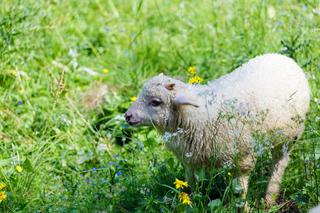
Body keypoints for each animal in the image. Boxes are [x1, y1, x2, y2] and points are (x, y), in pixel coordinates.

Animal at [124, 53, 310, 206]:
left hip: (289, 137)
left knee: (279, 163)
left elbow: (239, 193)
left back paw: (270, 198)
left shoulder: (242, 160)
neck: (196, 115)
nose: (127, 116)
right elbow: (192, 185)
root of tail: (283, 57)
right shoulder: (190, 160)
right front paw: (194, 203)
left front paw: (244, 208)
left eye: (156, 102)